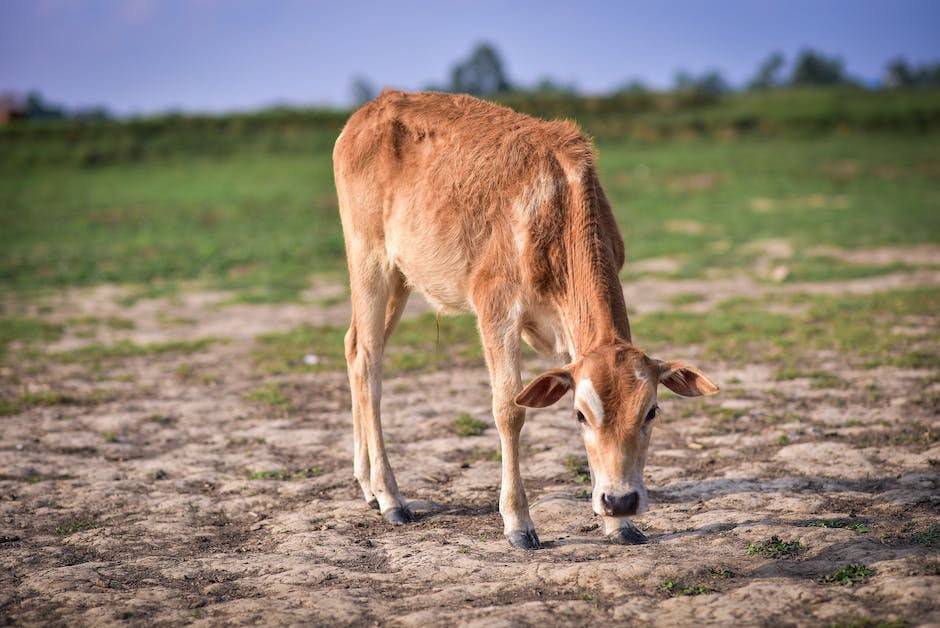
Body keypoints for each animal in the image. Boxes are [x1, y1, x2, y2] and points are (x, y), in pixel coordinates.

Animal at [334, 88, 716, 548]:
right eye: (581, 414)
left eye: (651, 412)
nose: (621, 499)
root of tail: (371, 108)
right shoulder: (495, 305)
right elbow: (509, 408)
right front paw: (518, 522)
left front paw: (618, 525)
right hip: (368, 257)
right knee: (369, 363)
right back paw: (390, 496)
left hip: (402, 276)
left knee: (353, 348)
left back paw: (367, 485)